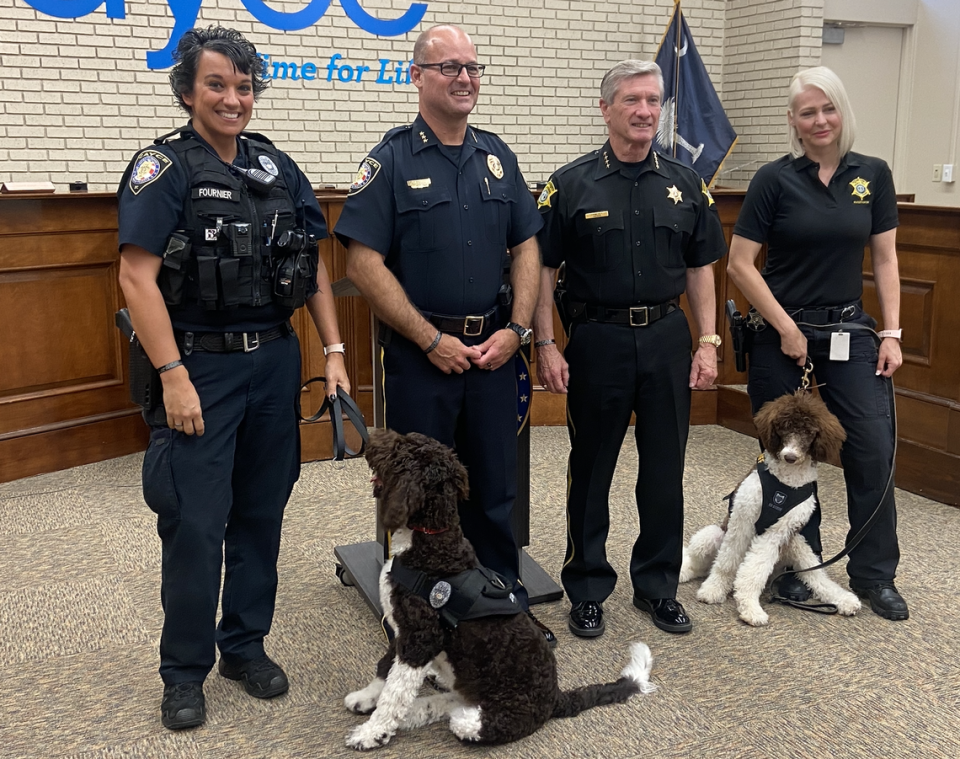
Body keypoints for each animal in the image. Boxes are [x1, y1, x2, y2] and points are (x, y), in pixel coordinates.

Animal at [342, 430, 656, 752]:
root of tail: (556, 697)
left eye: (399, 447)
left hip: (490, 715)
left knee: (459, 715)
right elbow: (385, 668)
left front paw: (372, 732)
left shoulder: (421, 637)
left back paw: (414, 713)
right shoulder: (402, 631)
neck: (431, 541)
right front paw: (366, 697)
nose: (372, 437)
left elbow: (394, 693)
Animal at [680, 394, 860, 628]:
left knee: (817, 576)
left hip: (797, 544)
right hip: (712, 536)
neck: (785, 484)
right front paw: (713, 591)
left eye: (809, 432)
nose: (790, 456)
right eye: (784, 427)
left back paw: (844, 599)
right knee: (698, 564)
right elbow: (727, 563)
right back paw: (683, 572)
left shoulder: (777, 532)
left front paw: (749, 607)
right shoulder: (743, 519)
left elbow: (754, 570)